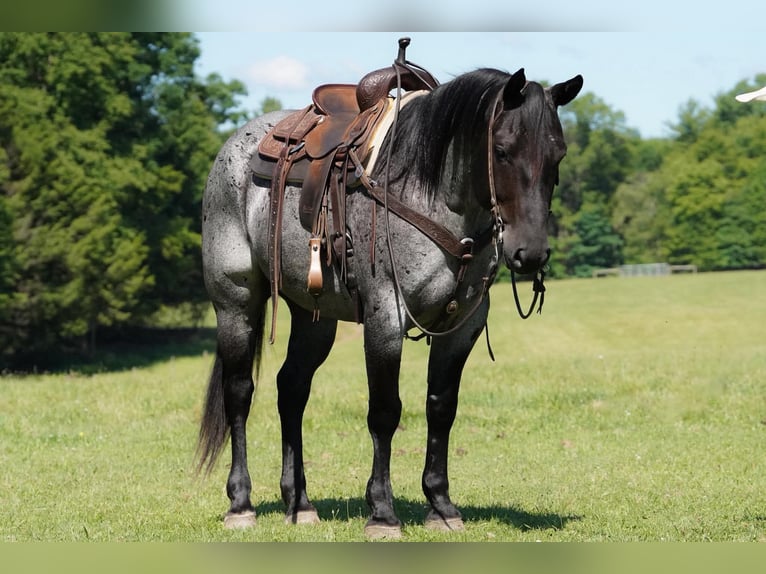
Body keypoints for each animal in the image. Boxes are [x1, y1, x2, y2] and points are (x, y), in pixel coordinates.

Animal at [197, 65, 583, 538]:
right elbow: (384, 411)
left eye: (558, 155)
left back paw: (299, 503)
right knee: (239, 392)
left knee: (292, 389)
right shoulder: (386, 317)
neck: (429, 194)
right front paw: (381, 511)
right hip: (236, 302)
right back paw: (240, 502)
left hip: (313, 317)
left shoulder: (463, 325)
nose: (531, 253)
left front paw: (441, 505)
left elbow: (441, 407)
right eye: (502, 150)